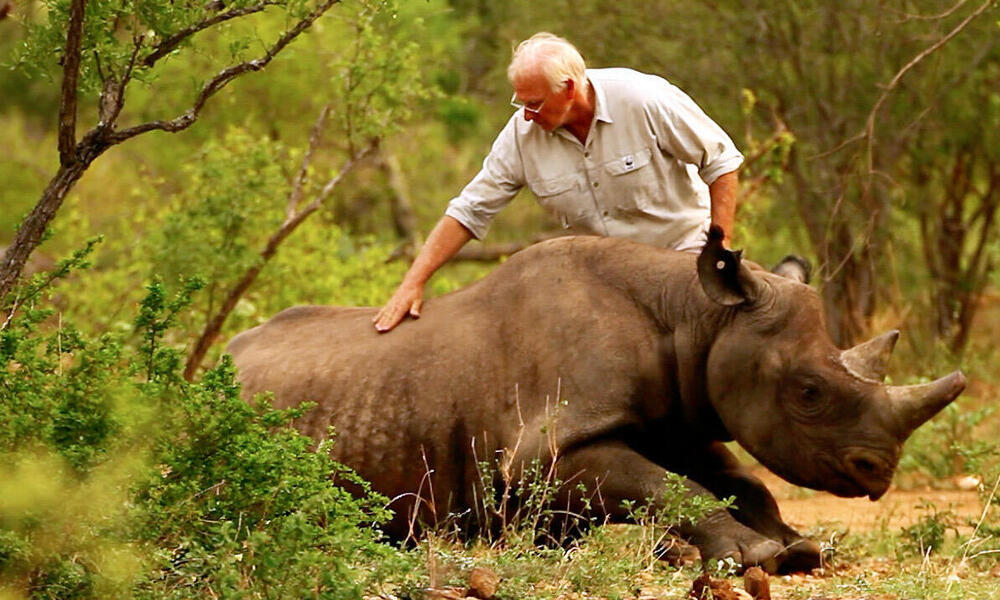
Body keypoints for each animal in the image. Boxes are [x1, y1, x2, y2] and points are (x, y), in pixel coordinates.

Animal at [227, 227, 960, 576]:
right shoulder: (546, 450)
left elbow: (739, 480)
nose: (877, 473)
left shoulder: (677, 416)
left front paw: (797, 548)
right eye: (808, 391)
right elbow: (668, 484)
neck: (696, 318)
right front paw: (753, 556)